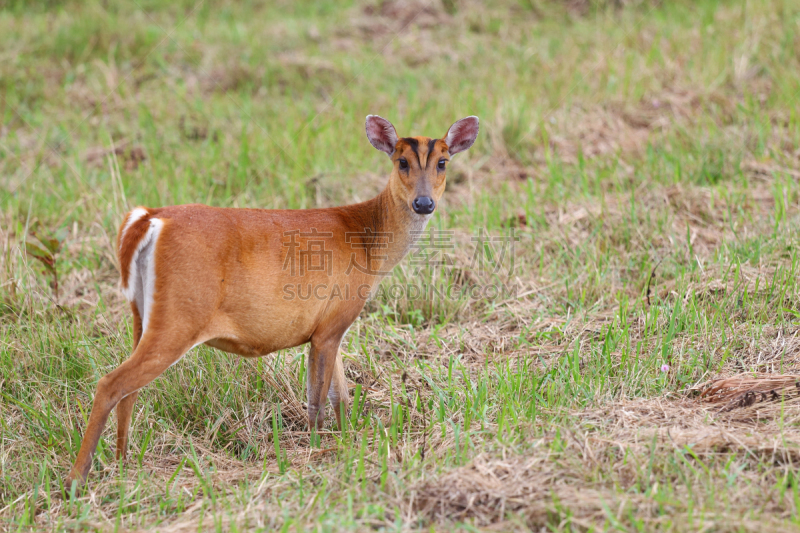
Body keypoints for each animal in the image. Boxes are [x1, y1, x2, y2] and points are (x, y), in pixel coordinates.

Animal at [65, 115, 478, 486]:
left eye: (443, 162)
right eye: (401, 161)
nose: (424, 203)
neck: (369, 243)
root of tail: (149, 217)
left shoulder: (330, 326)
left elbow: (341, 397)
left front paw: (346, 445)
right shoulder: (332, 321)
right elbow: (318, 402)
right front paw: (317, 452)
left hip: (141, 314)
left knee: (128, 390)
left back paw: (122, 465)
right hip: (180, 316)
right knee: (110, 384)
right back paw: (76, 479)